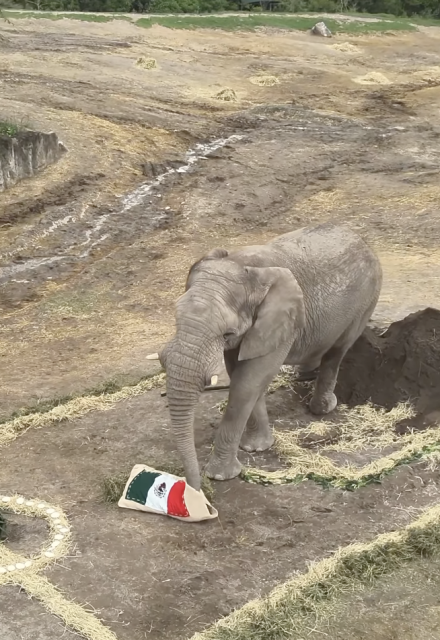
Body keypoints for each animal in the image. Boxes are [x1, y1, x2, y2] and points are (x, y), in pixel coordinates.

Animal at [155, 222, 382, 491]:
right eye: (176, 318)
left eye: (227, 333)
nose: (195, 490)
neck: (242, 264)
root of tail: (362, 239)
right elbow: (244, 377)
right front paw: (257, 447)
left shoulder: (284, 322)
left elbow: (247, 382)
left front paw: (221, 475)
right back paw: (305, 375)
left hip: (366, 300)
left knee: (337, 351)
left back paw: (324, 408)